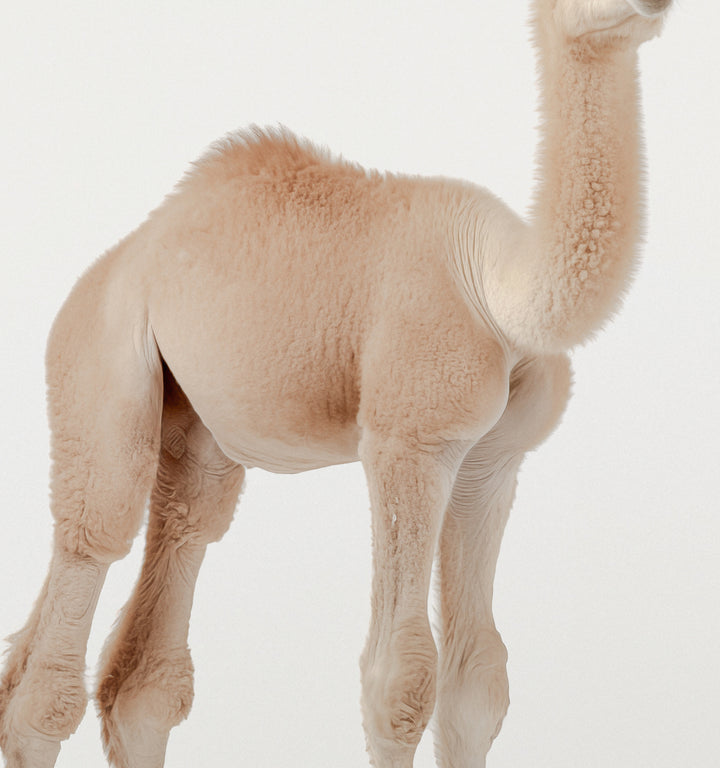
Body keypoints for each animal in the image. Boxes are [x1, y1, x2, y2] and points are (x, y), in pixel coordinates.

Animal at [0, 0, 672, 766]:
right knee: (87, 558)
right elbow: (400, 678)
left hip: (198, 430)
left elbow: (477, 684)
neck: (498, 287)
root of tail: (112, 265)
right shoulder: (408, 438)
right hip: (100, 361)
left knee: (159, 614)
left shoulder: (494, 460)